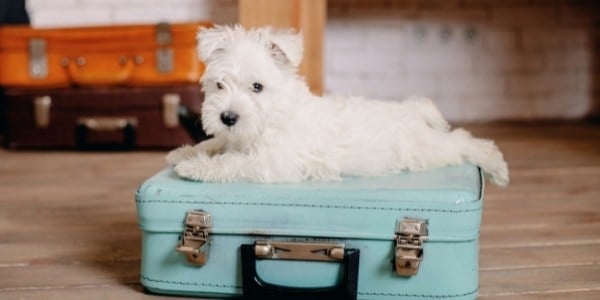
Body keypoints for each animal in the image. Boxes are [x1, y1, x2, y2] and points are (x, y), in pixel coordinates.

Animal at [166, 24, 508, 186]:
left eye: (257, 87)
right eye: (219, 85)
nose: (228, 117)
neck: (272, 116)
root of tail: (410, 111)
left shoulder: (271, 163)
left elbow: (231, 163)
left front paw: (194, 167)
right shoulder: (234, 138)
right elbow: (216, 144)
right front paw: (183, 152)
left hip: (424, 151)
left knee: (463, 141)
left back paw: (496, 167)